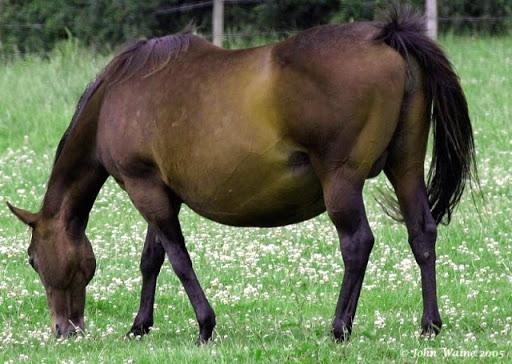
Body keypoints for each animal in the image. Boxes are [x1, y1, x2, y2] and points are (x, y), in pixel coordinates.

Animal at [7, 7, 476, 344]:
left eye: (32, 260)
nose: (64, 330)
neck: (115, 97)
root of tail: (386, 36)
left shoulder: (145, 188)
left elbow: (178, 259)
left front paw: (204, 325)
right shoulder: (160, 190)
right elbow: (152, 259)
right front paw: (140, 325)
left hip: (341, 183)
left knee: (357, 244)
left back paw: (339, 327)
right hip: (405, 167)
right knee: (422, 234)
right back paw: (429, 324)